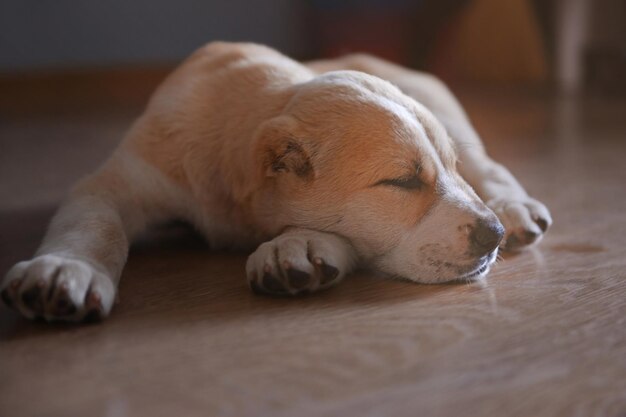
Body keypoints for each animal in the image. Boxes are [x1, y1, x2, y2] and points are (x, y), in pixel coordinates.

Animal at [0, 42, 548, 320]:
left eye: (447, 170)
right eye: (401, 182)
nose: (492, 236)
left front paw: (295, 247)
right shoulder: (120, 179)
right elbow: (96, 224)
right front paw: (63, 269)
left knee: (490, 166)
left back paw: (514, 208)